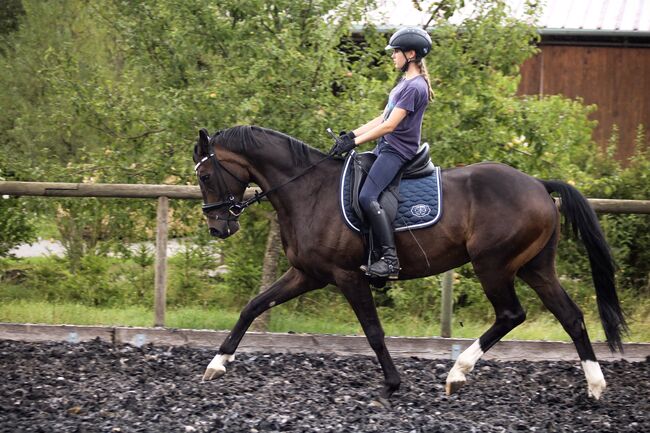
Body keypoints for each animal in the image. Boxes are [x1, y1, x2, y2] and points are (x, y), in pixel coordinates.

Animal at [191, 123, 624, 404]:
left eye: (207, 175)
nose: (218, 227)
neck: (308, 191)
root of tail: (537, 184)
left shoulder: (346, 276)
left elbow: (373, 331)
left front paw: (391, 385)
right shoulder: (307, 274)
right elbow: (253, 306)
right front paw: (216, 364)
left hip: (493, 265)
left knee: (511, 314)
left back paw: (457, 373)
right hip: (535, 267)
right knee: (571, 316)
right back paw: (595, 387)